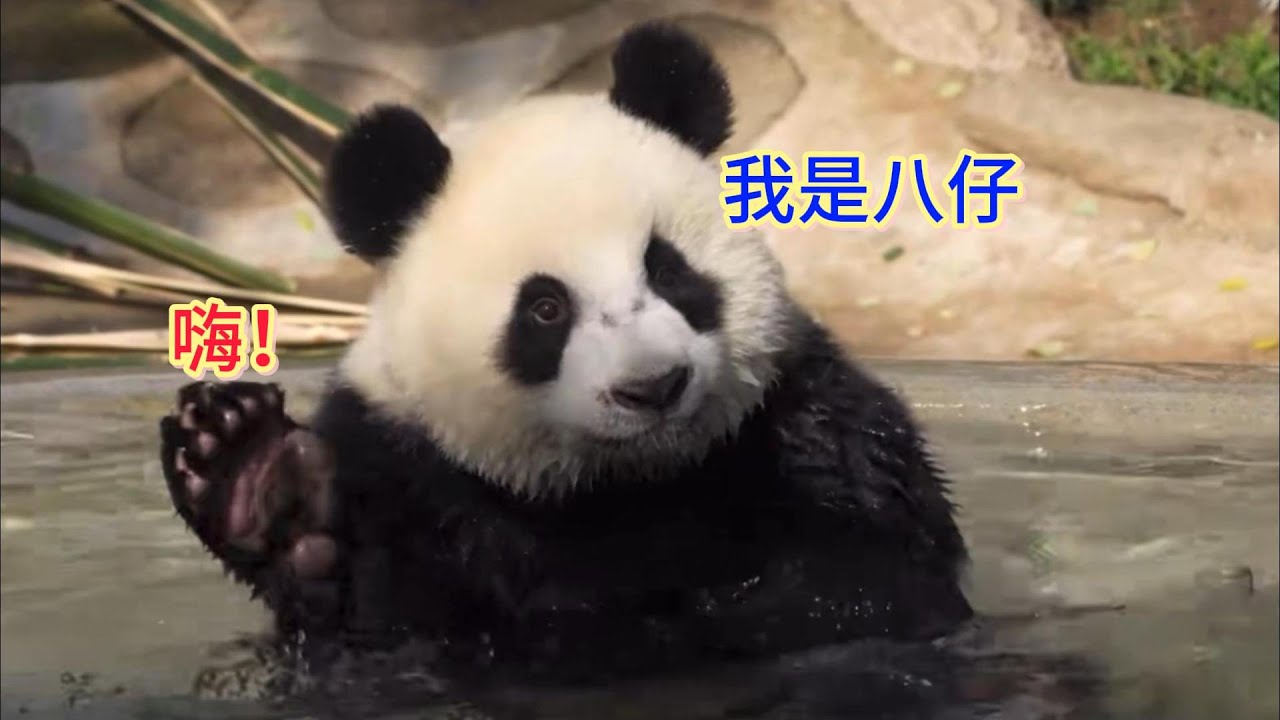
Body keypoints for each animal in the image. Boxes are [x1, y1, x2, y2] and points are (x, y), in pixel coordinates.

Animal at [159, 22, 973, 682]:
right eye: (545, 309)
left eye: (667, 270)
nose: (654, 386)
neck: (623, 484)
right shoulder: (407, 468)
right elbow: (362, 604)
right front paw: (254, 471)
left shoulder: (806, 420)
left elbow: (872, 577)